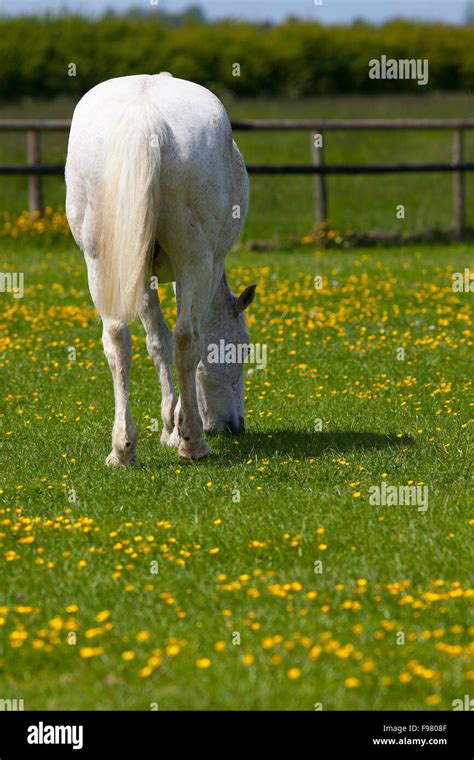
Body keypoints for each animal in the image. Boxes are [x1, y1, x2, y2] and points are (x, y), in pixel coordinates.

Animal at [65, 75, 256, 464]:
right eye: (242, 349)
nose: (235, 425)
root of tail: (145, 115)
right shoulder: (207, 266)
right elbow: (187, 341)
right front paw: (178, 427)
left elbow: (156, 341)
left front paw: (168, 426)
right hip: (194, 258)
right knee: (187, 337)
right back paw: (193, 443)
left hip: (102, 262)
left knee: (117, 339)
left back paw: (122, 449)